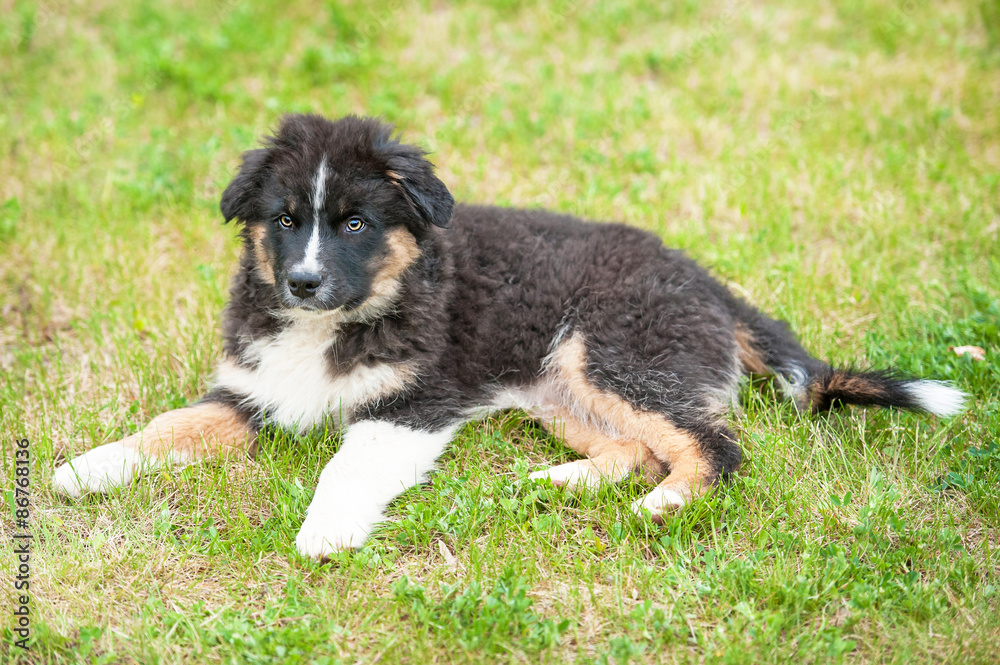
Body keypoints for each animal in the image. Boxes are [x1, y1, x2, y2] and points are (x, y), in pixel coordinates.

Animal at [50, 113, 964, 556]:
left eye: (354, 223)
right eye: (283, 220)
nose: (302, 282)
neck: (342, 318)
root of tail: (711, 286)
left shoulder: (413, 402)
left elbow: (346, 464)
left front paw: (325, 533)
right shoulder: (253, 387)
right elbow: (169, 425)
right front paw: (84, 468)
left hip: (614, 352)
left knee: (711, 445)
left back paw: (663, 504)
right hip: (555, 382)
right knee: (637, 446)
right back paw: (555, 482)